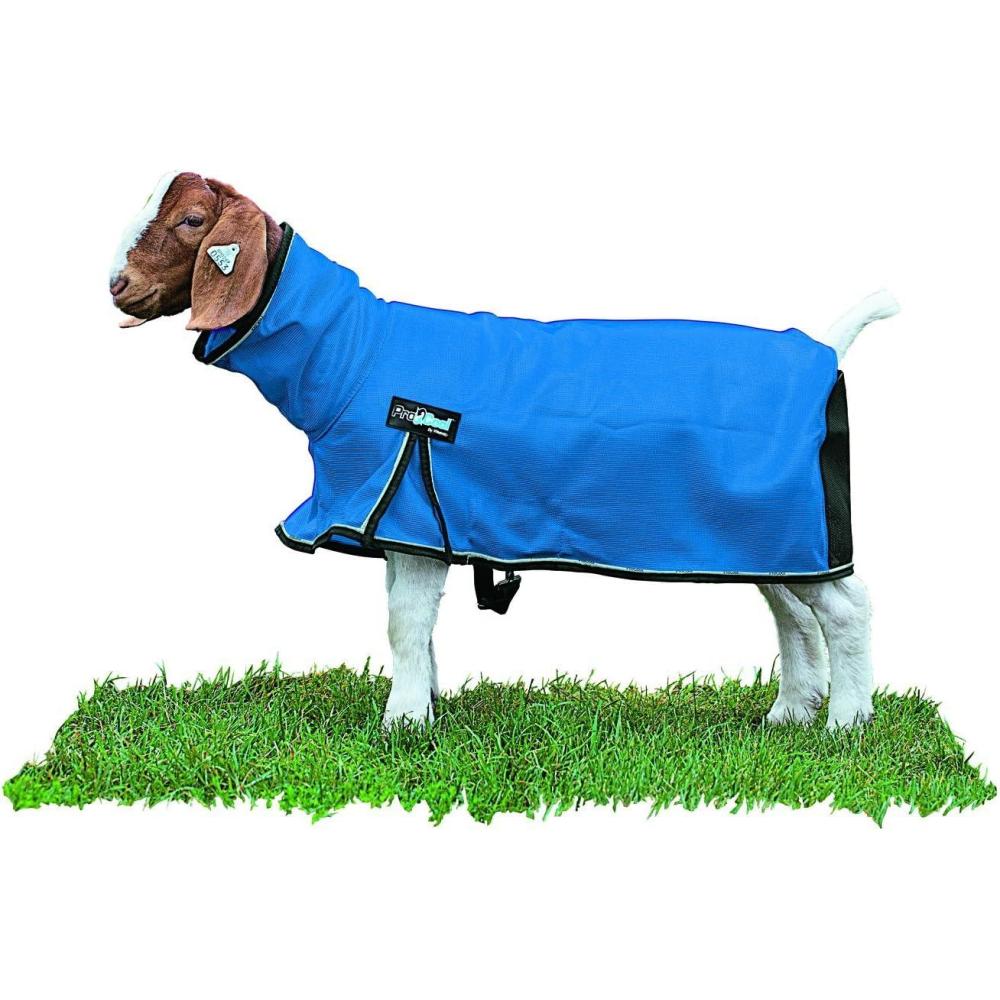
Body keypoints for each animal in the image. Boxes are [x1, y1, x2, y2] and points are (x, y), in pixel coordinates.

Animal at [111, 171, 898, 730]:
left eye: (191, 220)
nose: (117, 284)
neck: (354, 353)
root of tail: (825, 347)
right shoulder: (405, 524)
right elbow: (416, 626)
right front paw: (426, 709)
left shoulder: (406, 501)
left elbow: (403, 623)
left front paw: (401, 723)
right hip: (768, 532)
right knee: (793, 611)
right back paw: (790, 712)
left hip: (794, 522)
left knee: (847, 609)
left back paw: (846, 723)